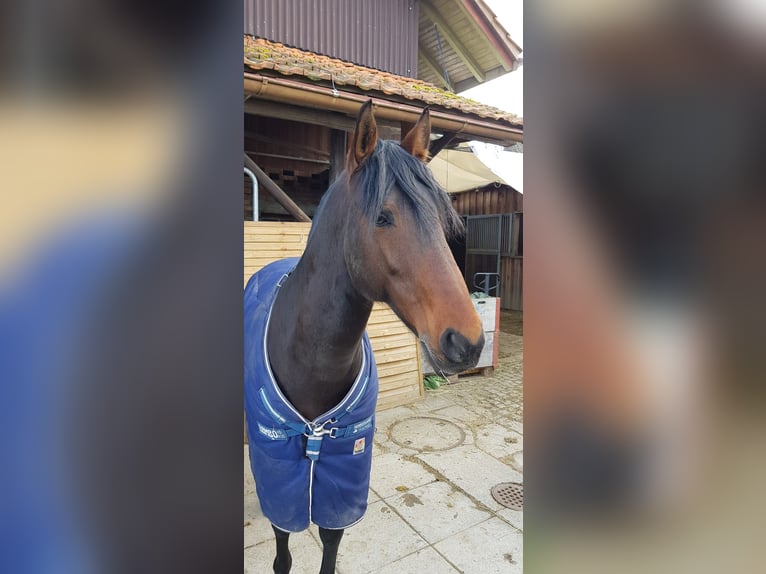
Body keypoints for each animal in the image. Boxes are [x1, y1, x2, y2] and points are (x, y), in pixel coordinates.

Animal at [244, 102, 486, 574]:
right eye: (383, 217)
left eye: (440, 217)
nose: (467, 342)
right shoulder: (279, 469)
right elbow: (282, 545)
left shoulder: (345, 468)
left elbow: (330, 540)